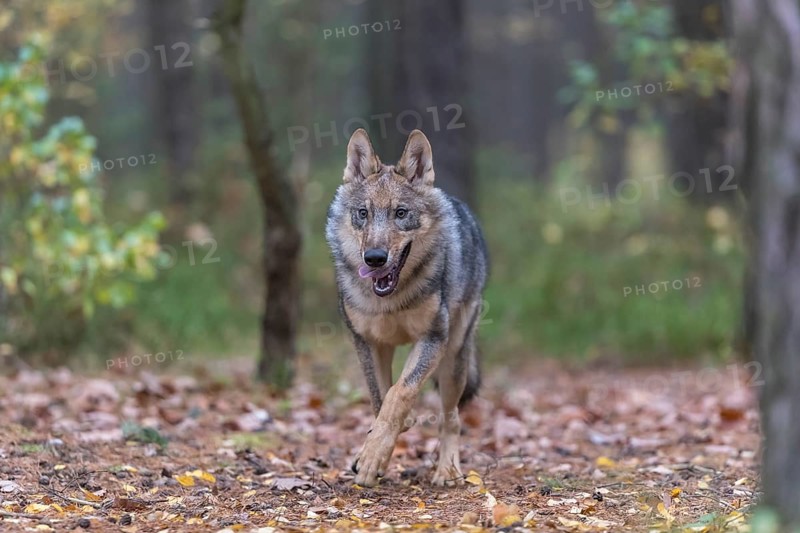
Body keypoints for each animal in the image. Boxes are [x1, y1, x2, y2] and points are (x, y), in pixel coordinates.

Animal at [325, 128, 489, 487]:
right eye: (363, 213)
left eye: (400, 213)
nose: (374, 258)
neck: (390, 299)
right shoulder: (367, 342)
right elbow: (380, 397)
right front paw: (372, 453)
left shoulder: (432, 339)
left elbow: (400, 393)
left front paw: (373, 457)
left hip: (454, 360)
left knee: (452, 418)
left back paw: (448, 471)